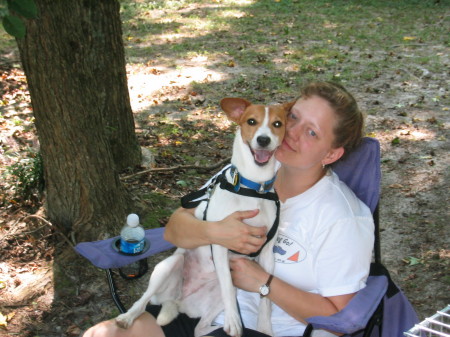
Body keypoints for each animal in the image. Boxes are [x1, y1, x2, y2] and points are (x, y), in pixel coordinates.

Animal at [114, 98, 294, 336]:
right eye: (251, 121)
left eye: (277, 124)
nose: (263, 140)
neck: (254, 187)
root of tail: (179, 302)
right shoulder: (221, 244)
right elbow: (228, 289)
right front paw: (234, 321)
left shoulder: (266, 253)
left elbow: (265, 298)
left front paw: (264, 328)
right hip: (168, 266)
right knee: (143, 301)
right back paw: (127, 317)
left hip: (215, 295)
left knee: (199, 329)